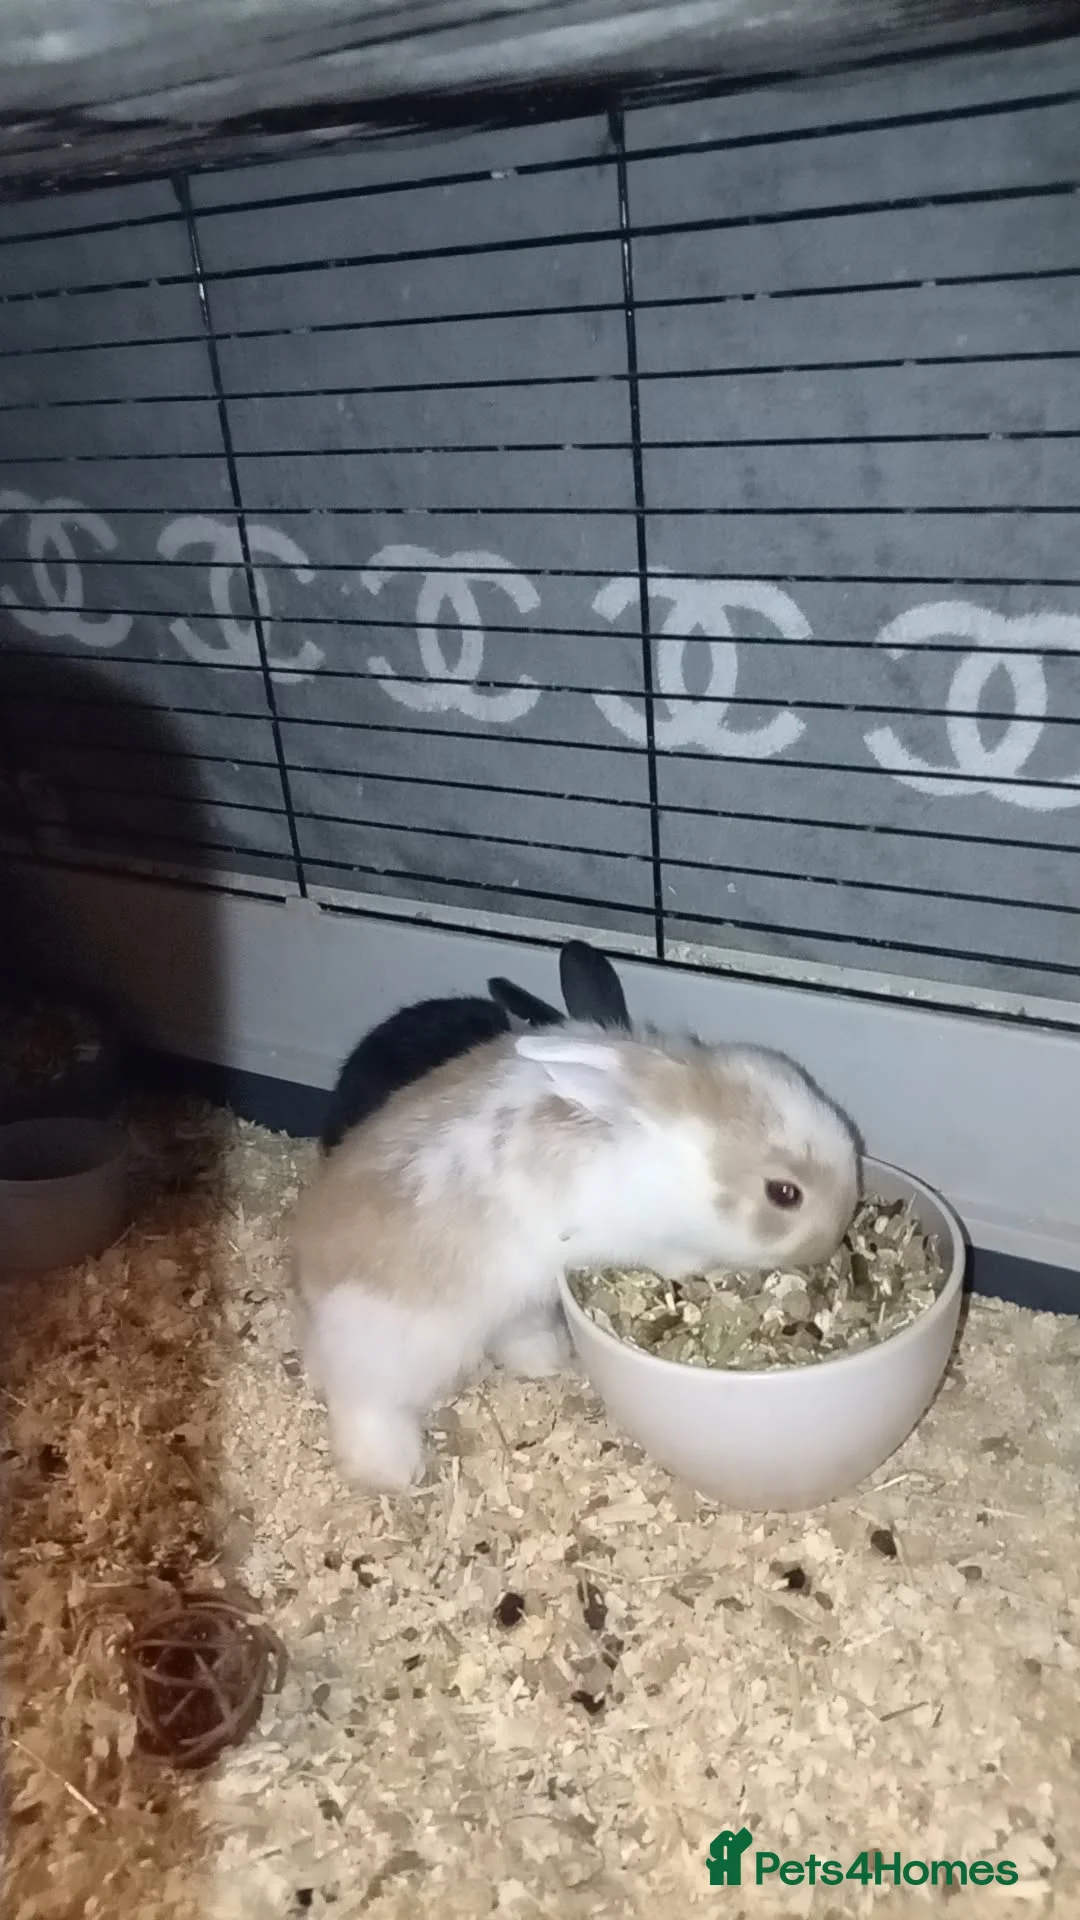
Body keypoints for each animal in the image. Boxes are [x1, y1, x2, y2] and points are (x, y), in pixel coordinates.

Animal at [291, 1020, 860, 1494]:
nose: (835, 1234)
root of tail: (310, 1292)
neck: (687, 1161)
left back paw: (547, 1361)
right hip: (399, 1349)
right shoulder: (649, 1239)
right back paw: (390, 1472)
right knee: (363, 1401)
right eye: (784, 1194)